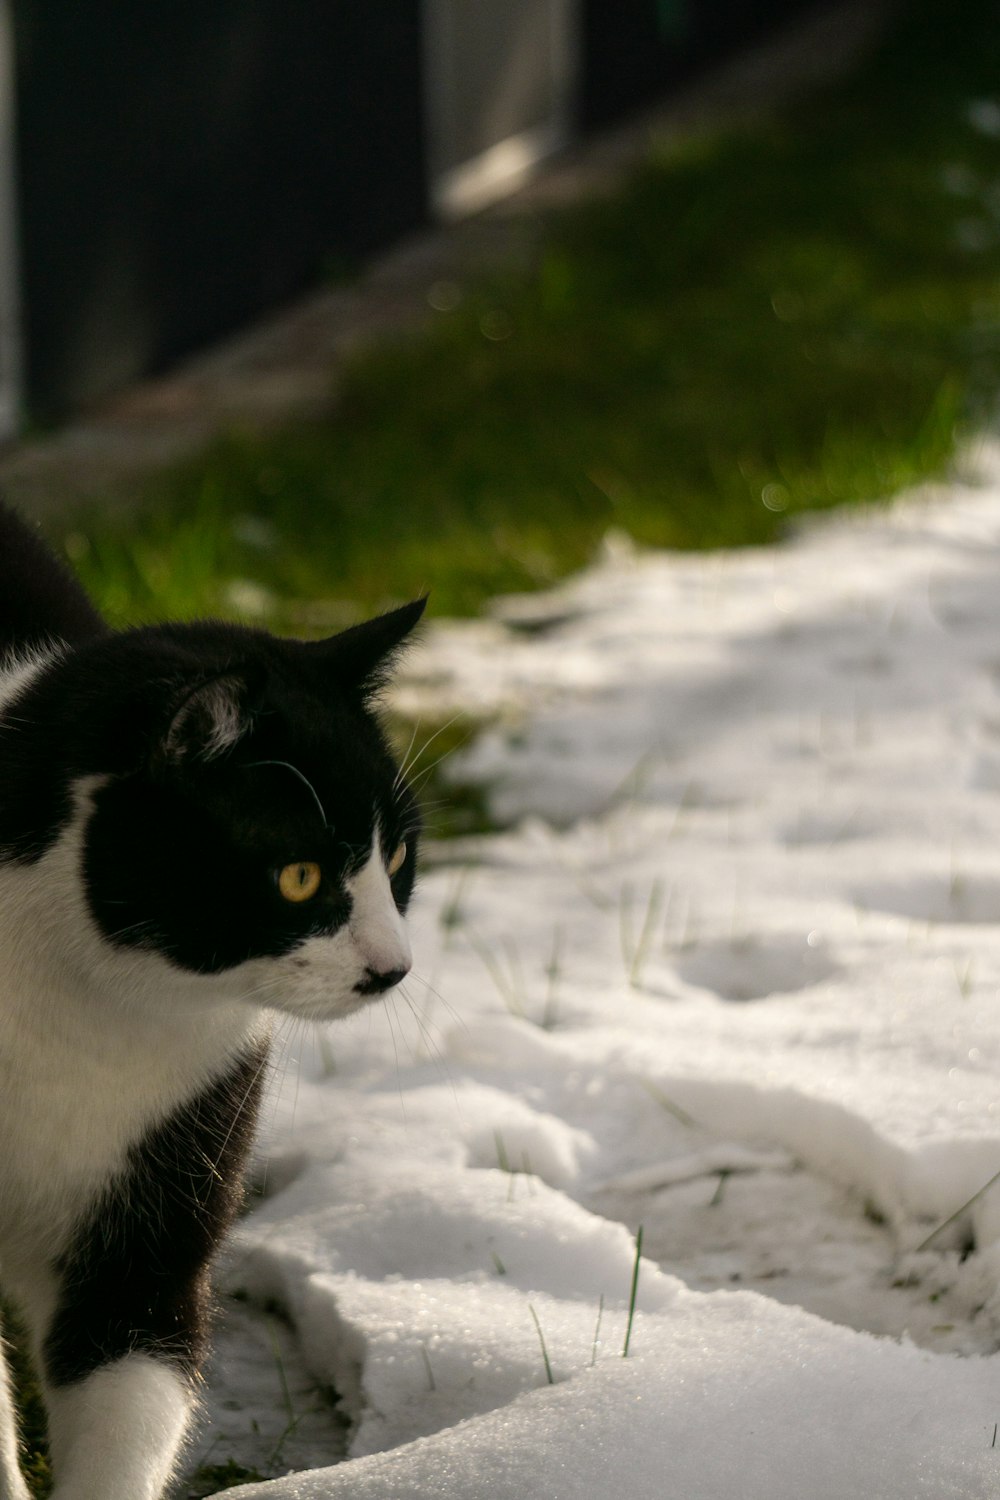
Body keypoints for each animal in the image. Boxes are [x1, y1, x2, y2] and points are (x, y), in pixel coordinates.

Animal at [0, 507, 425, 1500]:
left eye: (395, 858)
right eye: (298, 874)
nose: (393, 968)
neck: (89, 1013)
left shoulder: (155, 1213)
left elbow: (133, 1387)